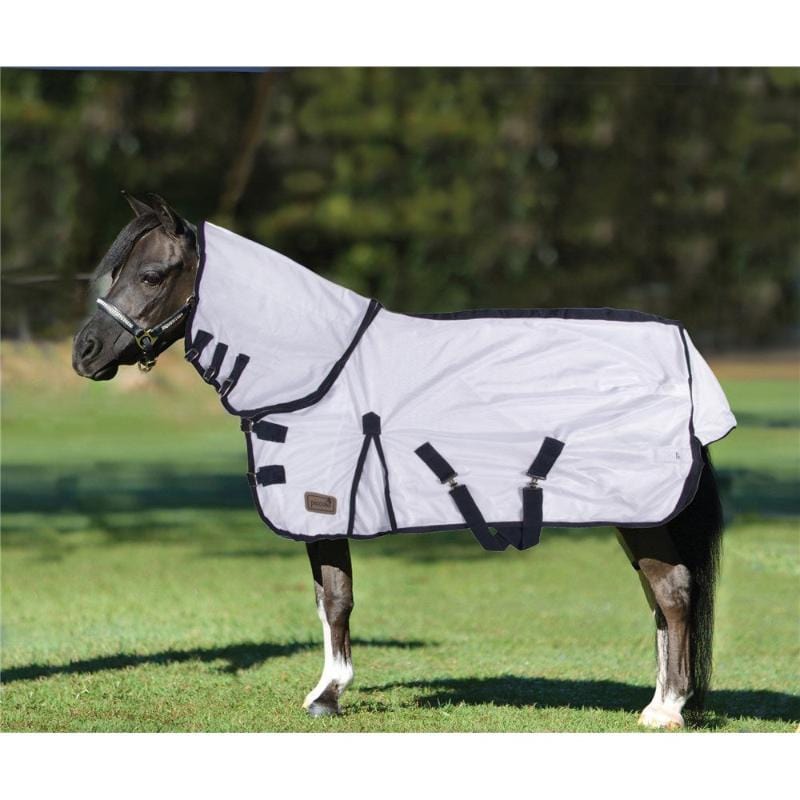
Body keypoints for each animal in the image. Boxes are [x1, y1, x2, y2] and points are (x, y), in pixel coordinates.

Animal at [72, 192, 725, 729]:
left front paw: (328, 696)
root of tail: (685, 356)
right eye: (117, 269)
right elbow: (325, 599)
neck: (318, 372)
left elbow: (337, 597)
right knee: (660, 600)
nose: (85, 352)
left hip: (640, 513)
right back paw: (662, 699)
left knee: (673, 592)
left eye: (152, 274)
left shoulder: (321, 506)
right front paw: (327, 689)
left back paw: (665, 710)